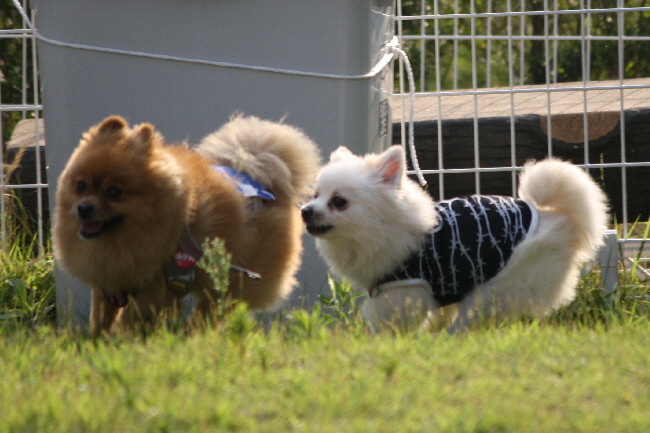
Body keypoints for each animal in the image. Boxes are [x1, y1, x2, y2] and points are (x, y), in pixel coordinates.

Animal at [53, 114, 321, 333]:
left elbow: (130, 320)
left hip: (229, 279)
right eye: (81, 185)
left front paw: (123, 341)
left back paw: (192, 333)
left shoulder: (151, 288)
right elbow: (100, 320)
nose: (84, 208)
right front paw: (97, 340)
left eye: (114, 193)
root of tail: (261, 180)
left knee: (211, 310)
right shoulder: (108, 285)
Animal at [301, 145, 609, 332]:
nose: (305, 211)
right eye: (315, 195)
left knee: (474, 316)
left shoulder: (403, 289)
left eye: (339, 202)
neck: (382, 227)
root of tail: (560, 216)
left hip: (500, 284)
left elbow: (391, 319)